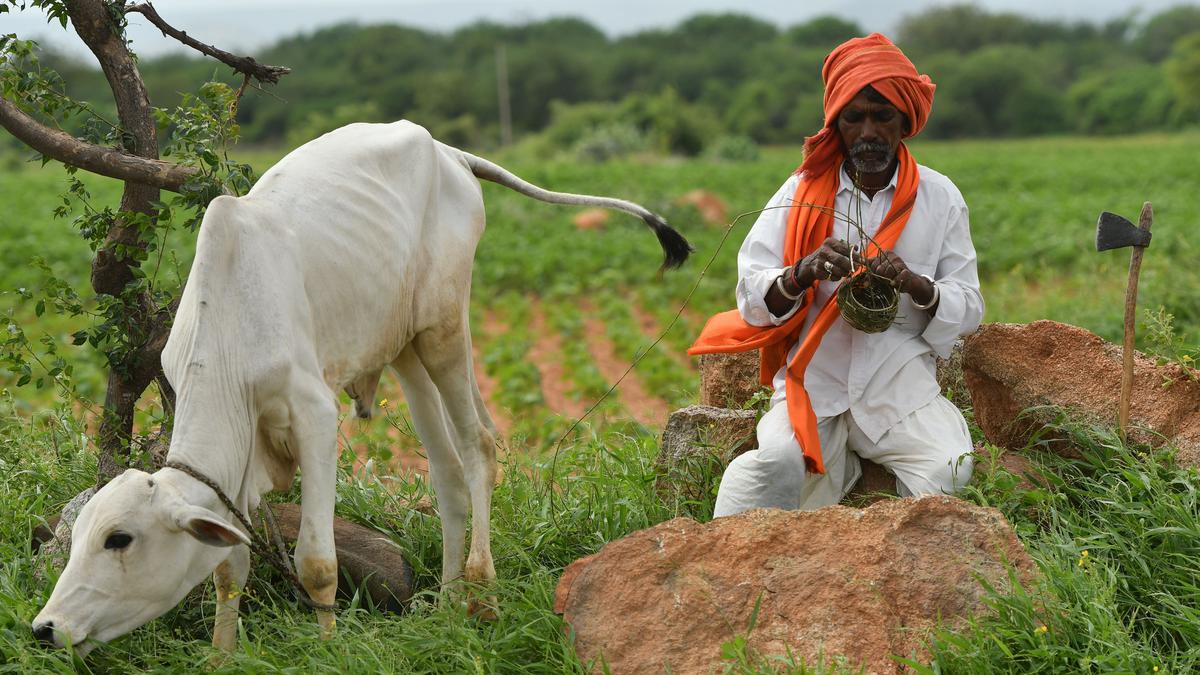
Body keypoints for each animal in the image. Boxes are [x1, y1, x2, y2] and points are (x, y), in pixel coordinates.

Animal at [32, 120, 691, 653]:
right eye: (80, 535)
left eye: (119, 539)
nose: (45, 628)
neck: (228, 335)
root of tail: (446, 151)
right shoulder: (239, 462)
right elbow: (228, 566)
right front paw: (222, 655)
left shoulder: (315, 418)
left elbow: (317, 563)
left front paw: (328, 649)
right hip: (404, 350)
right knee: (447, 473)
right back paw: (445, 605)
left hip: (444, 327)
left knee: (479, 444)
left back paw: (482, 592)